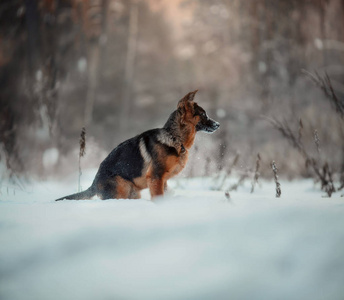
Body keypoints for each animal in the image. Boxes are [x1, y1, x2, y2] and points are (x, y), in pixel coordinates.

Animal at [55, 89, 219, 202]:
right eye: (203, 114)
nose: (218, 124)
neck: (174, 137)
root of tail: (94, 184)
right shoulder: (156, 177)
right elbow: (158, 197)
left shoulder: (163, 181)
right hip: (121, 190)